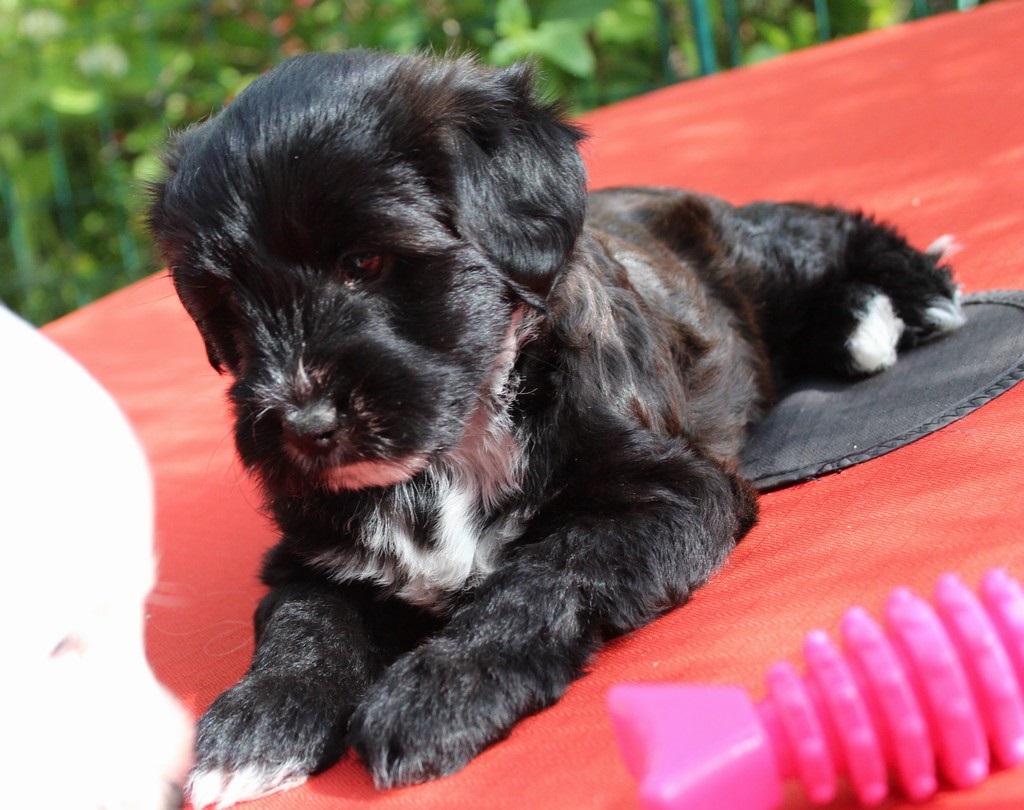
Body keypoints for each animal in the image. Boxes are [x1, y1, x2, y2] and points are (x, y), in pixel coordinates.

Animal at [147, 50, 964, 808]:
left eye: (366, 261)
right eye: (227, 306)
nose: (303, 424)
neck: (457, 446)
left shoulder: (668, 492)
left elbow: (545, 573)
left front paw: (440, 690)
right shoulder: (313, 555)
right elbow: (304, 623)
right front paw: (257, 723)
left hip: (750, 254)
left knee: (818, 235)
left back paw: (895, 302)